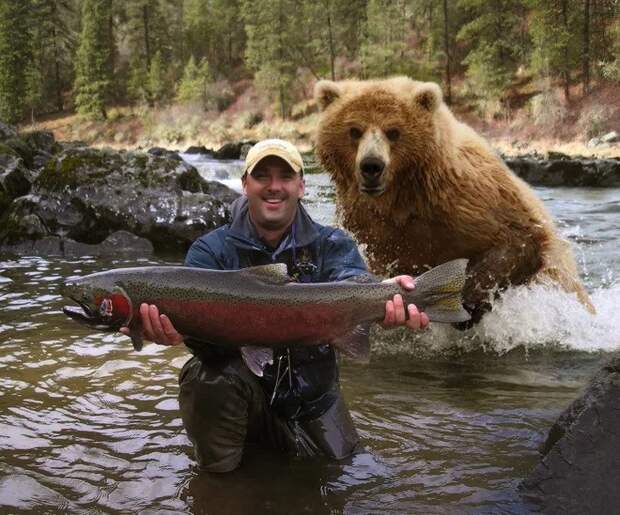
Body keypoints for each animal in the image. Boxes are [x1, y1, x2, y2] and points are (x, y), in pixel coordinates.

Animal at [314, 75, 596, 322]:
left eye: (393, 131)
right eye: (354, 130)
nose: (371, 166)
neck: (403, 197)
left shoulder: (470, 200)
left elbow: (518, 239)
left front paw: (466, 302)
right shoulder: (368, 224)